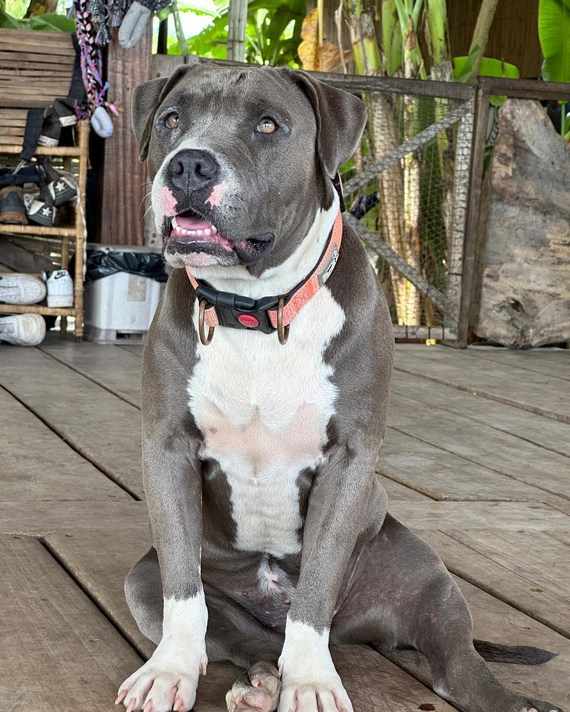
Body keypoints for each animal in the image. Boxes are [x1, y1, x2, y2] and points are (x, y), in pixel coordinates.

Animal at [116, 64, 560, 712]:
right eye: (172, 118)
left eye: (268, 125)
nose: (189, 165)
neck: (257, 309)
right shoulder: (167, 447)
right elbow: (183, 593)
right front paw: (170, 670)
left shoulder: (348, 459)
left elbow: (317, 586)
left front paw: (310, 681)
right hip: (143, 580)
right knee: (242, 638)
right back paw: (260, 684)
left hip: (428, 579)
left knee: (456, 665)